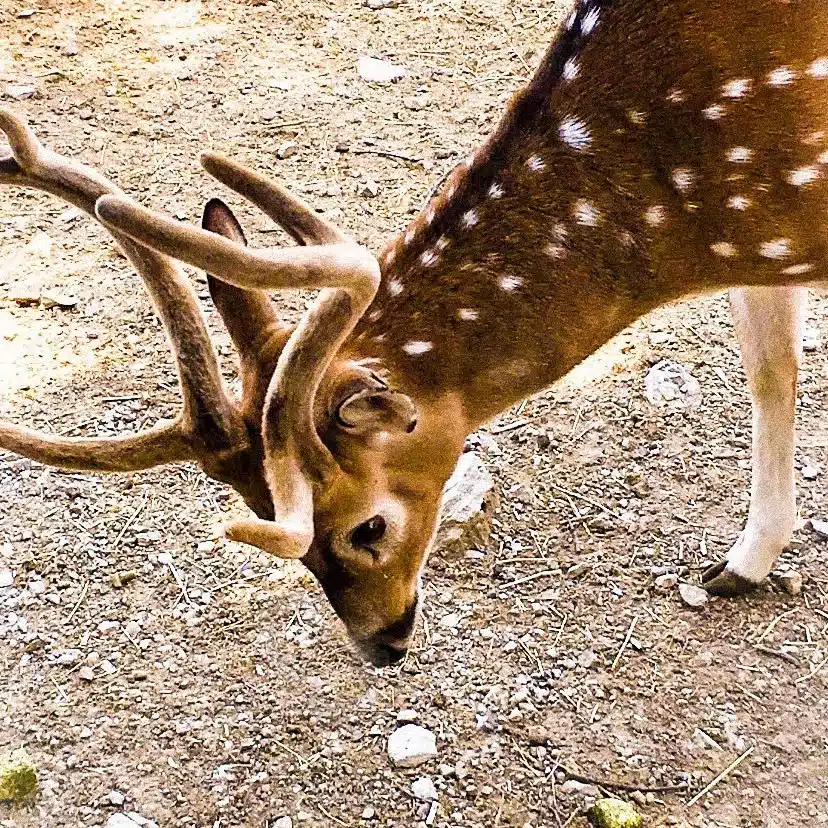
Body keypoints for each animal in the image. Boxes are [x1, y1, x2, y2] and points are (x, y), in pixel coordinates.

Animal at [2, 0, 826, 665]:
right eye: (264, 516)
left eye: (368, 528)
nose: (381, 642)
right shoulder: (766, 247)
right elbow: (771, 372)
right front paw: (743, 564)